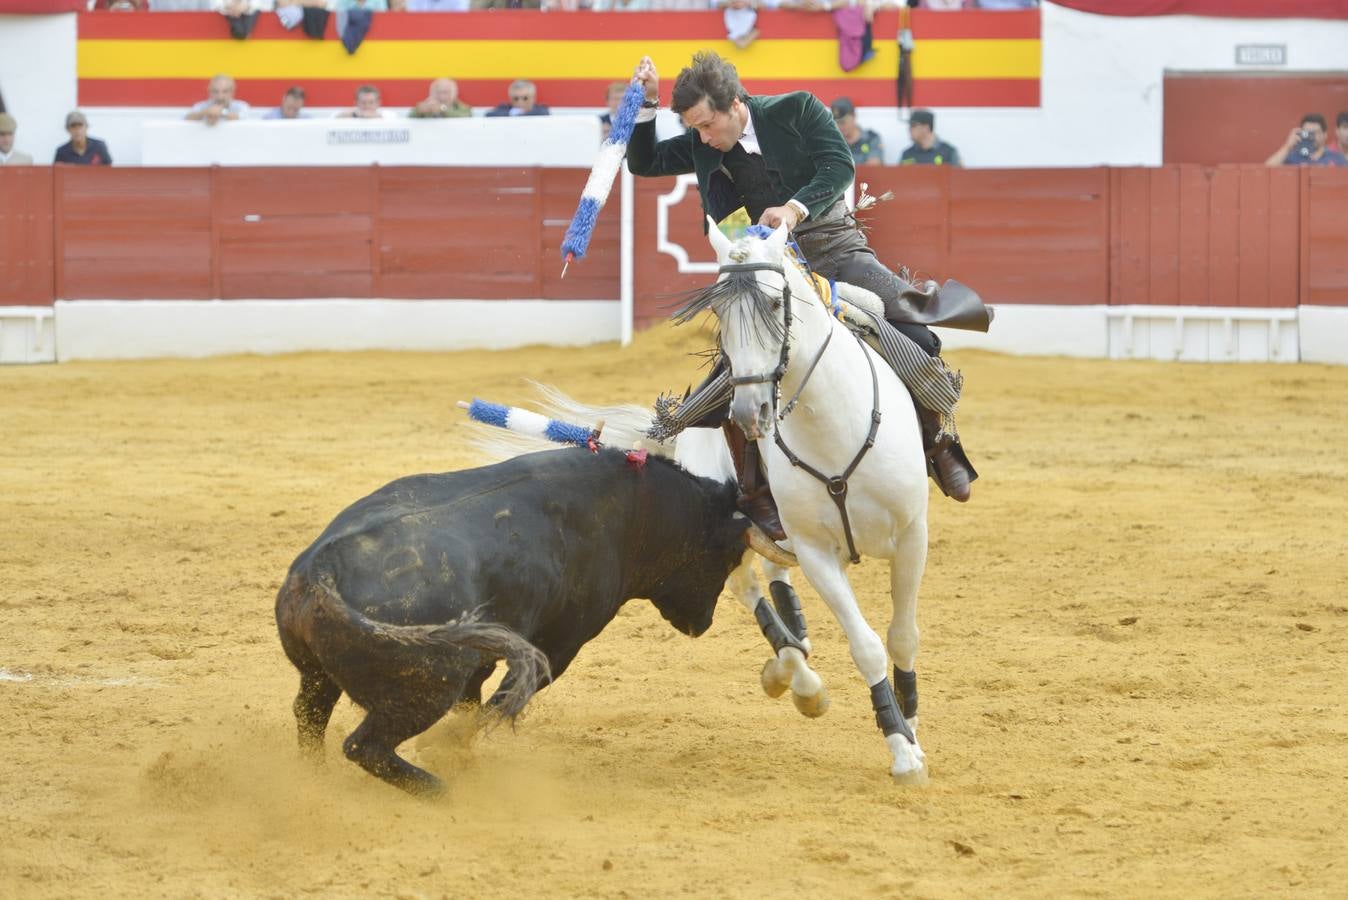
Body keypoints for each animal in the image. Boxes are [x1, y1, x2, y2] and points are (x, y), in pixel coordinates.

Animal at [273, 447, 760, 792]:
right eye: (728, 556)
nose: (703, 622)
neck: (634, 511)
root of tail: (320, 572)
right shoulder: (558, 646)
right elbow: (499, 701)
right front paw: (448, 753)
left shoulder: (487, 661)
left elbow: (474, 704)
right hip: (425, 687)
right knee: (365, 746)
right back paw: (439, 790)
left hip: (317, 674)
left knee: (309, 718)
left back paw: (314, 783)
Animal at [690, 220, 932, 781]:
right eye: (719, 312)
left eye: (775, 303)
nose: (749, 413)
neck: (831, 425)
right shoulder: (817, 552)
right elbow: (866, 646)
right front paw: (900, 748)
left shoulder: (913, 535)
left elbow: (902, 636)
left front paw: (911, 725)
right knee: (748, 584)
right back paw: (797, 677)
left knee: (772, 578)